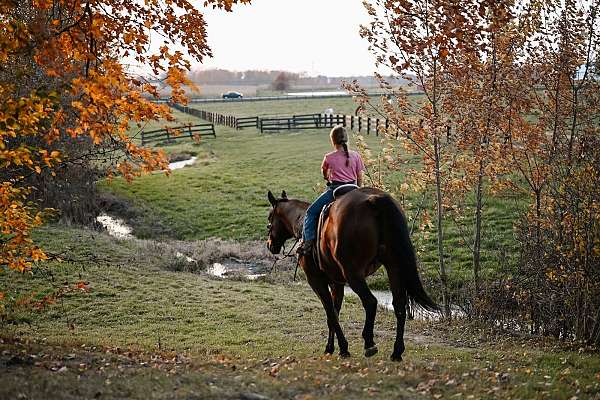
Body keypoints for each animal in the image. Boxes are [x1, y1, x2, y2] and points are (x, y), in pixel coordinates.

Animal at [268, 188, 436, 362]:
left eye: (269, 219)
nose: (270, 244)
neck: (301, 222)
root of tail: (375, 200)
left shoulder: (316, 281)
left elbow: (331, 314)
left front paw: (342, 348)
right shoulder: (337, 283)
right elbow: (334, 313)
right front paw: (333, 347)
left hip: (353, 274)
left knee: (370, 302)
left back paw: (369, 343)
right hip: (393, 267)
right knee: (399, 305)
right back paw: (397, 352)